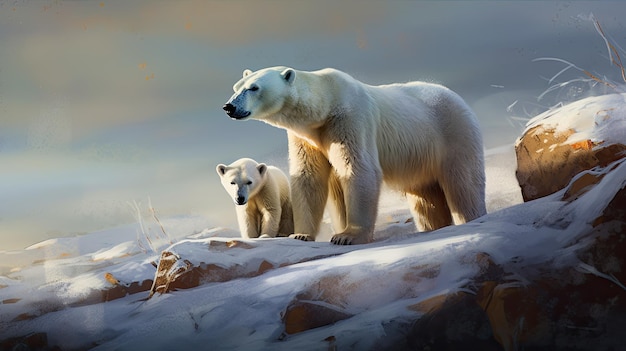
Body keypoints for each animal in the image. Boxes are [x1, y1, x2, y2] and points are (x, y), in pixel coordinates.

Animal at [222, 67, 486, 246]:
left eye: (254, 88)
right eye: (236, 87)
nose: (229, 107)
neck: (325, 104)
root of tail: (456, 96)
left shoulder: (350, 120)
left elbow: (358, 169)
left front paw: (347, 236)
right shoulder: (307, 138)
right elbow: (309, 178)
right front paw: (301, 234)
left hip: (453, 133)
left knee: (464, 184)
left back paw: (471, 217)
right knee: (426, 200)